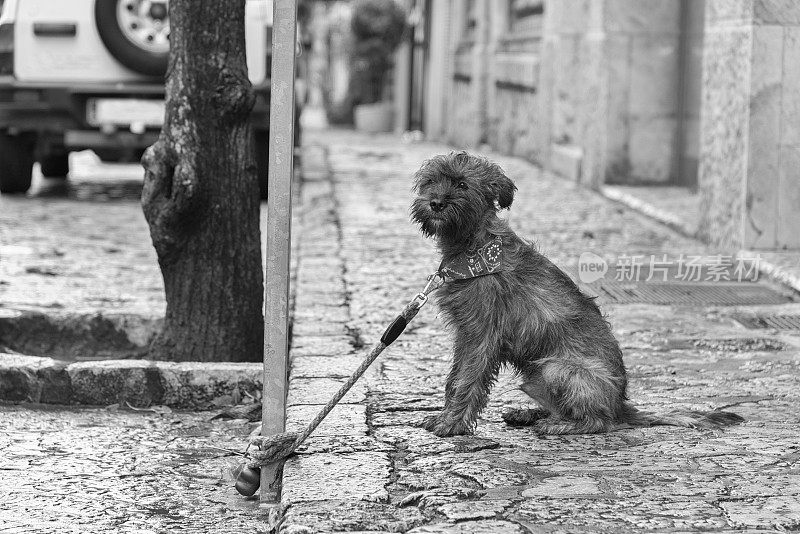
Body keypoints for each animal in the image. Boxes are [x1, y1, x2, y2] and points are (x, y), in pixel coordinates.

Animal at [412, 152, 744, 440]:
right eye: (430, 181)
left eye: (463, 185)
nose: (436, 203)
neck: (475, 247)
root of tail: (621, 406)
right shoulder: (465, 334)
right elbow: (454, 378)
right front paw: (445, 417)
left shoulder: (483, 335)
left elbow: (467, 380)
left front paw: (452, 424)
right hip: (537, 377)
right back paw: (529, 414)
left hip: (555, 368)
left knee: (600, 422)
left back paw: (560, 425)